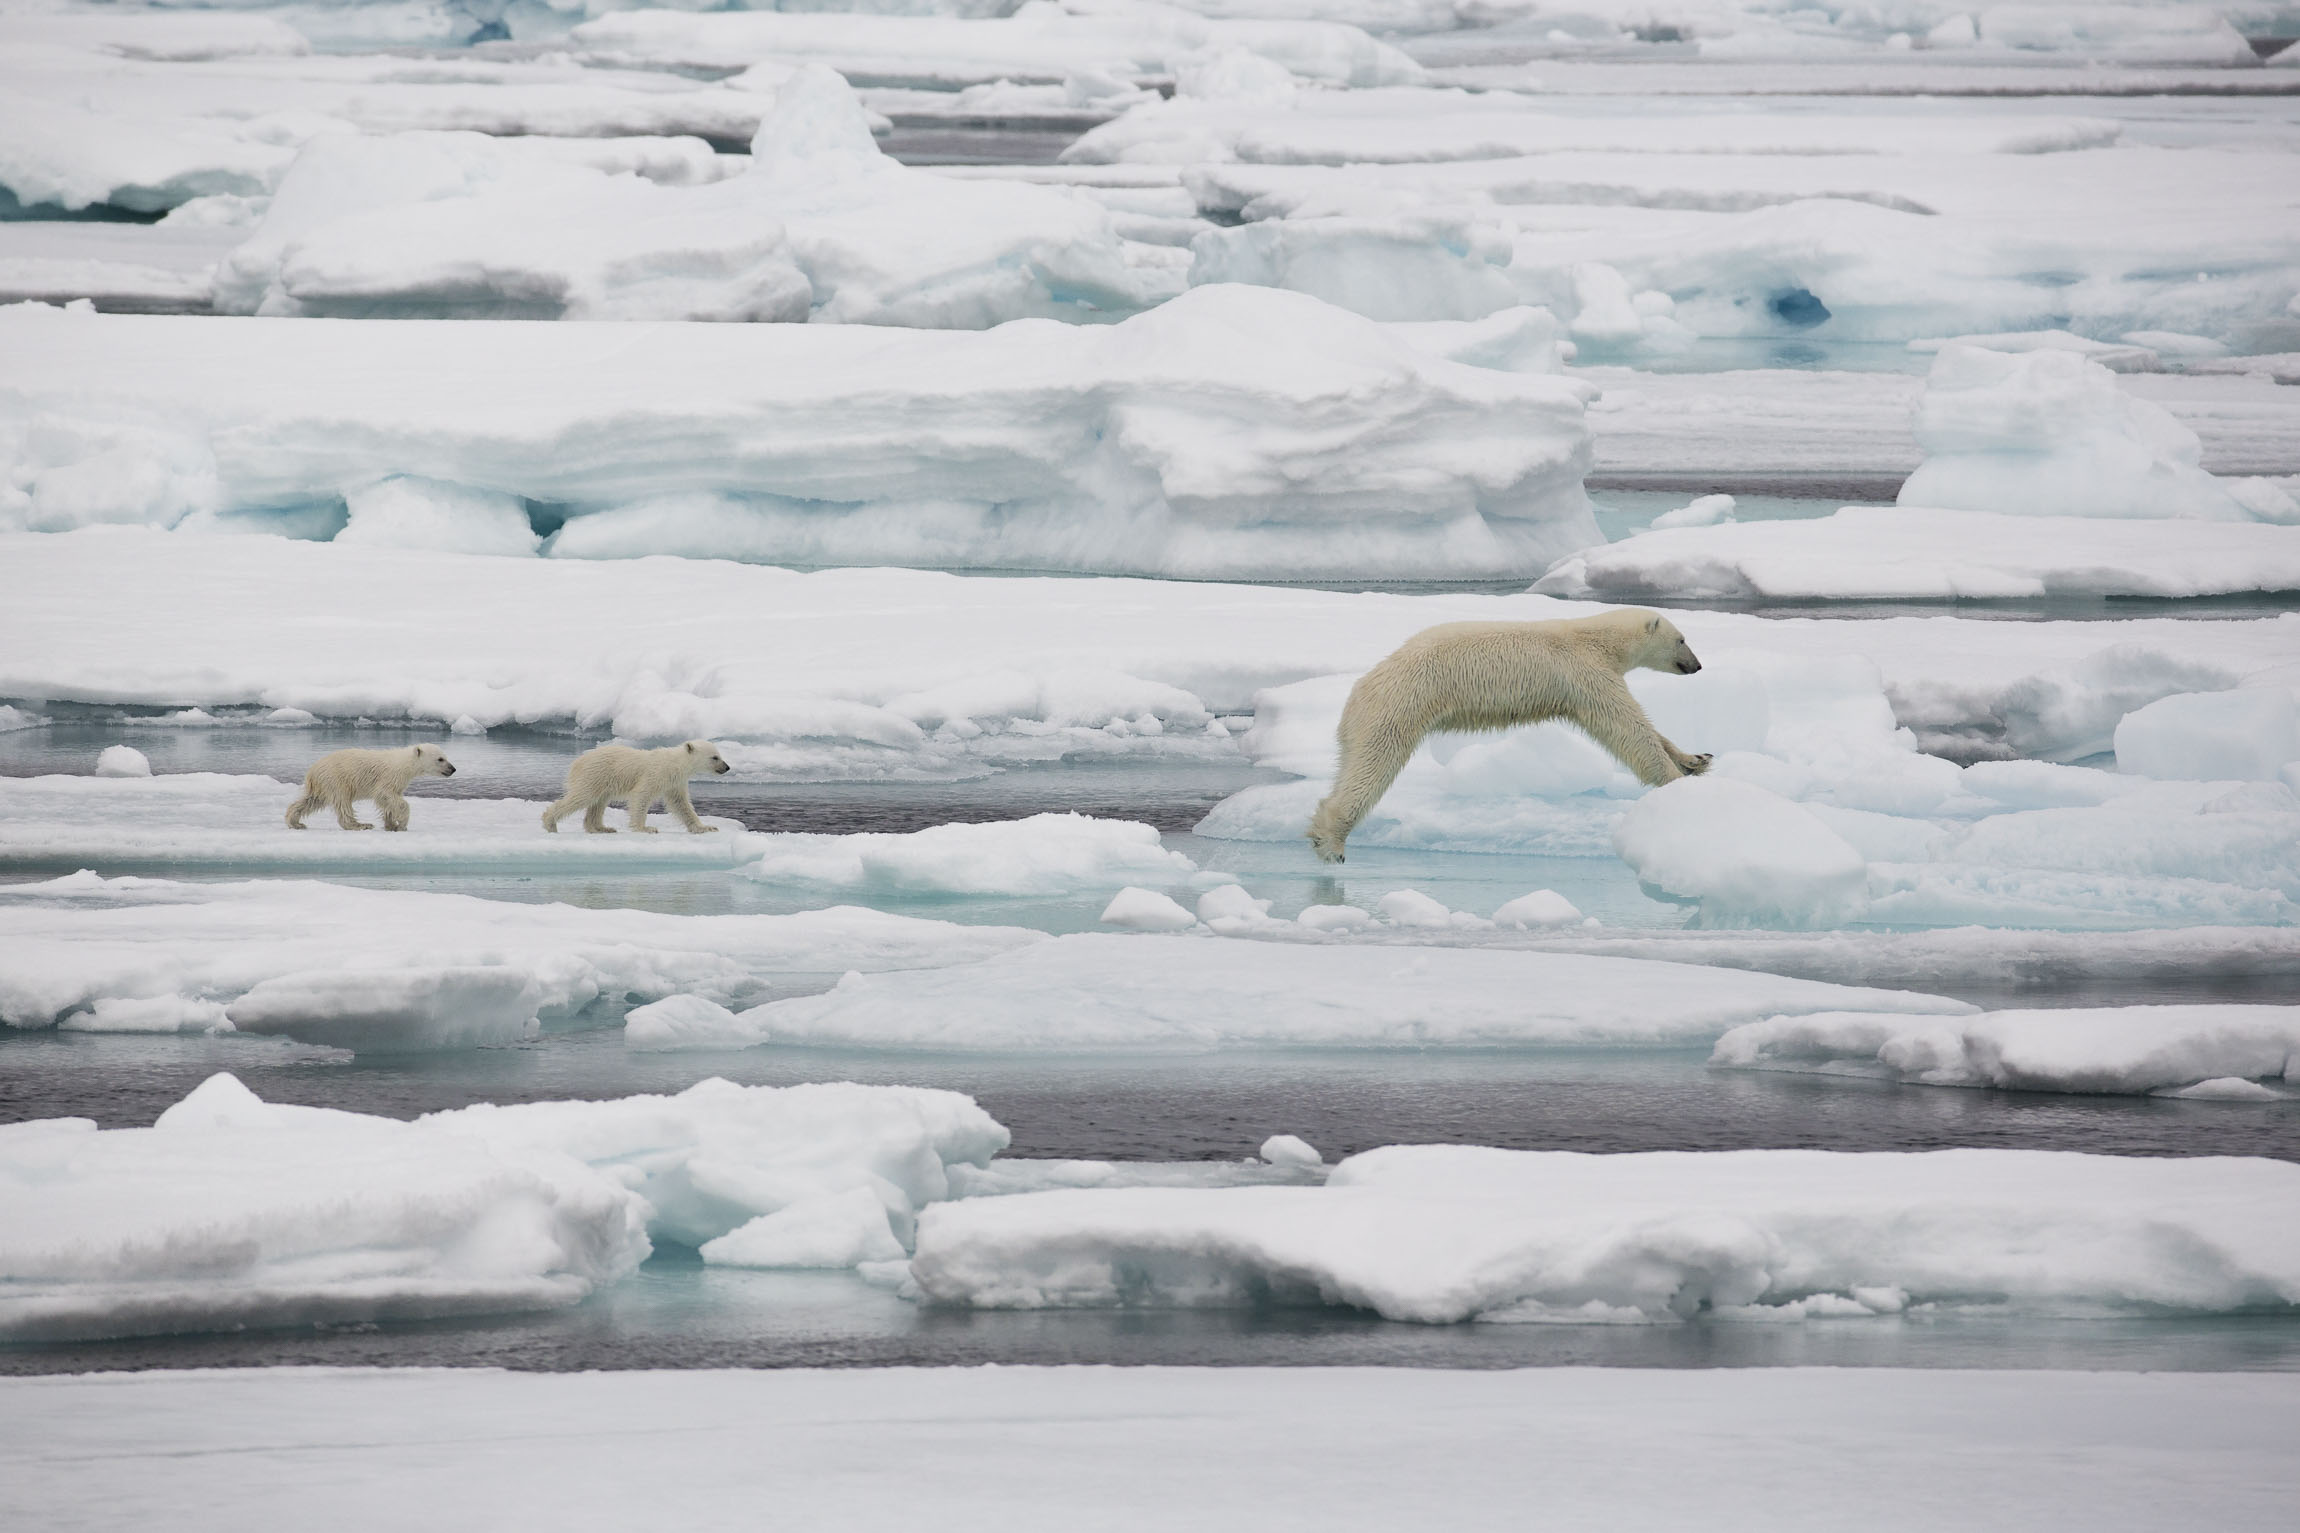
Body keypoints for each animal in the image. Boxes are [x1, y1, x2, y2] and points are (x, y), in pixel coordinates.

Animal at [540, 735, 726, 832]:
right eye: (715, 757)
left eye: (719, 755)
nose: (727, 767)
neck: (674, 764)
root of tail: (577, 762)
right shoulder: (655, 774)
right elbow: (641, 795)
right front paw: (645, 828)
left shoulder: (674, 782)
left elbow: (681, 804)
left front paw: (706, 827)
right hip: (595, 774)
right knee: (582, 797)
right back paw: (550, 823)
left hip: (601, 780)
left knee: (598, 802)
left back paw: (602, 828)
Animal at [1306, 606, 1720, 864]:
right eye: (1682, 639)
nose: (1698, 666)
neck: (1595, 637)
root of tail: (1362, 688)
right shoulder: (1585, 672)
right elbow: (1625, 725)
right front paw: (1676, 781)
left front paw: (1696, 759)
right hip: (1399, 708)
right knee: (1372, 769)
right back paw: (1331, 843)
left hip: (1369, 719)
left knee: (1352, 764)